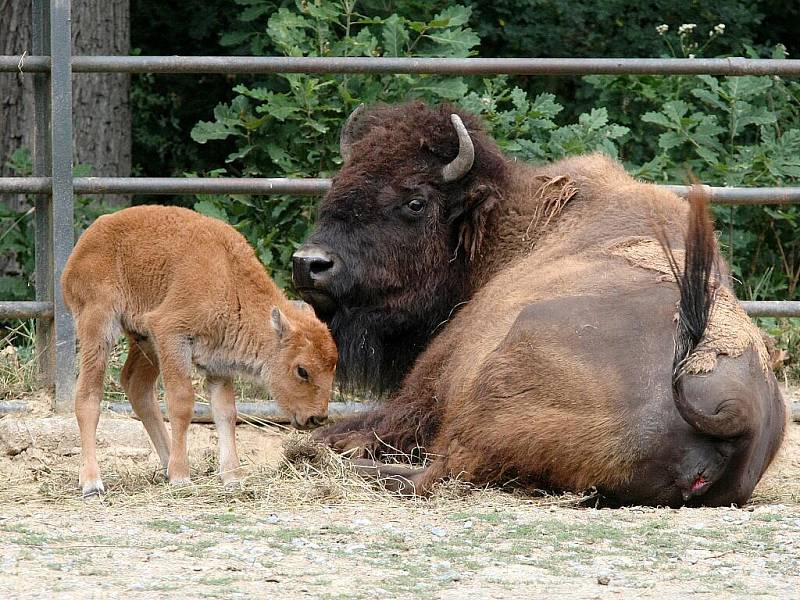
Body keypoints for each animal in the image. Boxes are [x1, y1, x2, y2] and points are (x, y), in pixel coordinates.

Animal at [61, 206, 338, 496]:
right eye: (302, 370)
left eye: (333, 365)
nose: (317, 418)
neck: (229, 279)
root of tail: (85, 242)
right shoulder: (171, 335)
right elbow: (182, 403)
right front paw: (181, 476)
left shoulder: (218, 364)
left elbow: (226, 413)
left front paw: (232, 477)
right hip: (99, 326)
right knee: (88, 395)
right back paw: (92, 482)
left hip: (145, 340)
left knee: (136, 386)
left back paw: (166, 463)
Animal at [290, 103, 784, 506]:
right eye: (338, 183)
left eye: (415, 201)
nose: (309, 263)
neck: (507, 229)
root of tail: (739, 414)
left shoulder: (428, 386)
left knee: (437, 472)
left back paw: (316, 456)